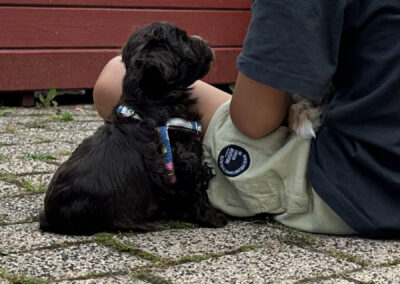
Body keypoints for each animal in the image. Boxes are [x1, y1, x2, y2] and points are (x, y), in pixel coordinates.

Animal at [41, 22, 228, 235]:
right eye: (184, 41)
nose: (206, 42)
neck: (150, 100)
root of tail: (50, 218)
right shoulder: (186, 158)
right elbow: (196, 190)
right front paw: (212, 217)